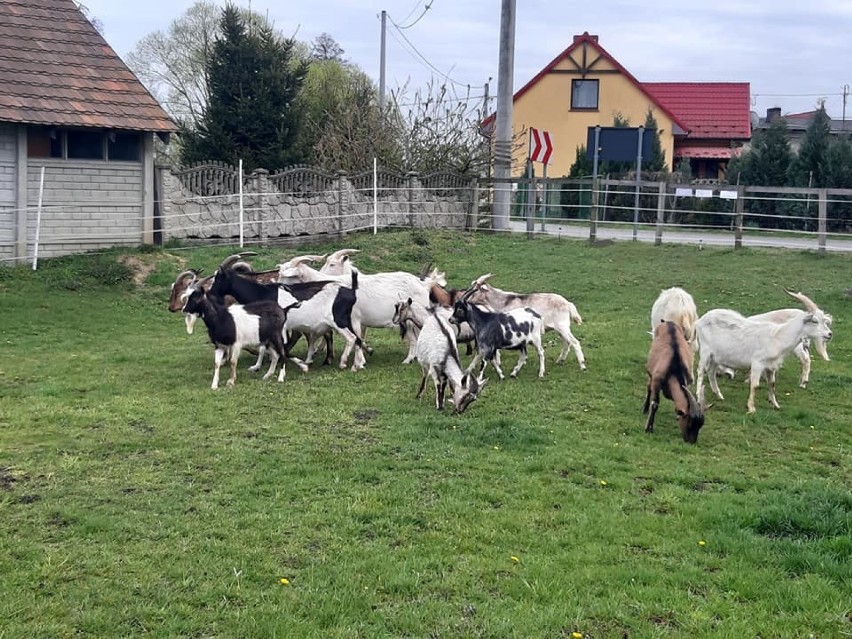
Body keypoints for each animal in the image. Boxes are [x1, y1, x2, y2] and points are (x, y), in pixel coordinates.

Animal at [208, 255, 368, 372]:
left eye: (218, 278)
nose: (209, 293)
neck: (262, 292)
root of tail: (350, 290)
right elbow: (264, 347)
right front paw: (256, 366)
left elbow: (281, 347)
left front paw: (300, 365)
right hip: (345, 320)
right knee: (357, 338)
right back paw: (358, 361)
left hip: (338, 320)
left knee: (351, 337)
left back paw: (342, 362)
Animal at [692, 308, 832, 416]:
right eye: (814, 321)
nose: (830, 334)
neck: (777, 337)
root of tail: (700, 320)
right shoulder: (757, 363)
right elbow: (755, 385)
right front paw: (751, 408)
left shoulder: (771, 366)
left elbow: (772, 384)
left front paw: (775, 404)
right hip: (705, 350)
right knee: (701, 371)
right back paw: (698, 396)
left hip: (717, 356)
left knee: (711, 372)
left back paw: (719, 395)